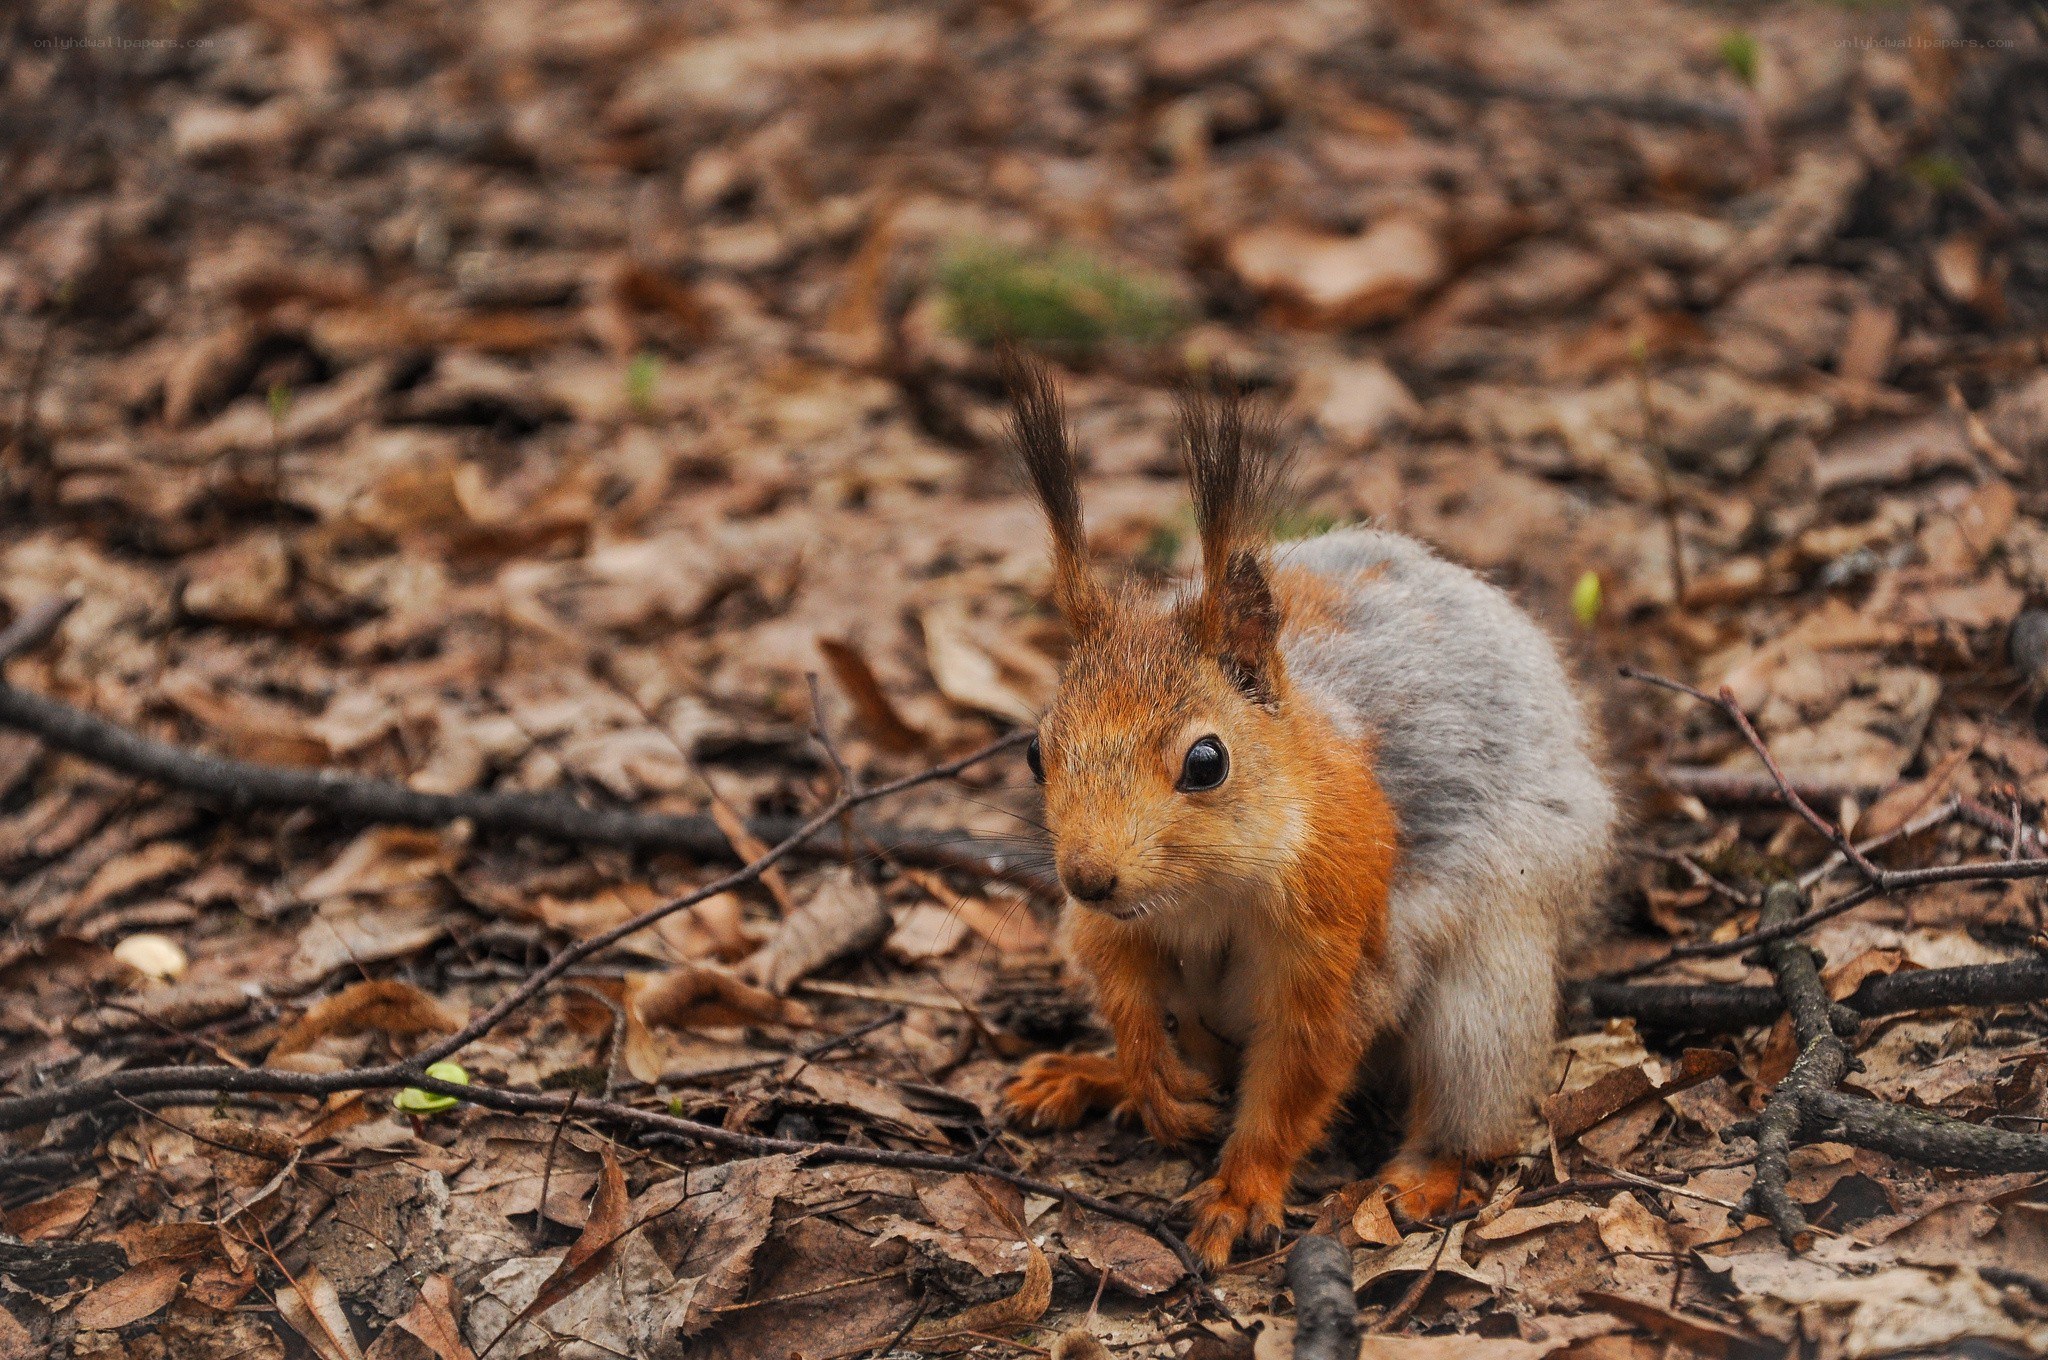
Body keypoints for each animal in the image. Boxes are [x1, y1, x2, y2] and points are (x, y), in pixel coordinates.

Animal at [997, 356, 1617, 1268]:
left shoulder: (1339, 938)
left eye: (1207, 762)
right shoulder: (1114, 926)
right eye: (1037, 753)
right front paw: (1144, 1074)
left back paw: (1422, 1178)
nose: (1088, 876)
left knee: (1473, 1104)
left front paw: (1241, 1193)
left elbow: (1297, 1077)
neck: (1205, 891)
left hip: (1487, 994)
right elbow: (1119, 980)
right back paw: (1094, 1075)